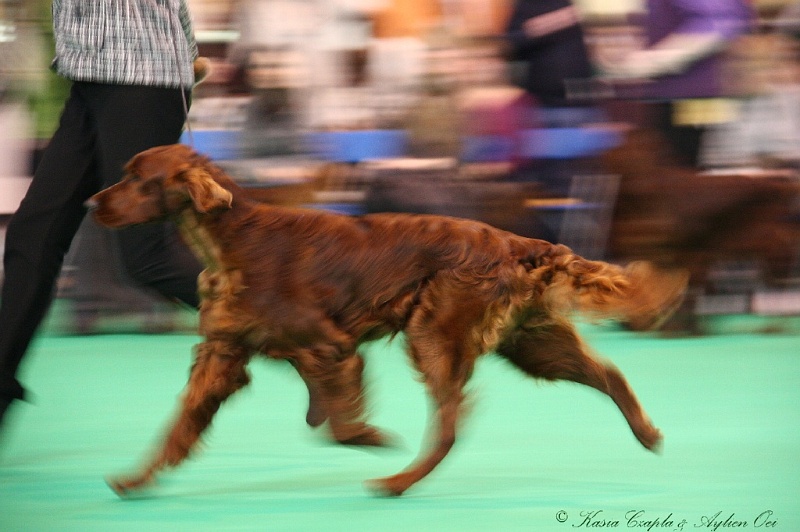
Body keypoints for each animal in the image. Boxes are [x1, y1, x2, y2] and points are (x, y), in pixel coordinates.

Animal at [89, 143, 688, 496]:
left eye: (136, 179)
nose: (91, 204)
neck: (230, 240)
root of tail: (520, 242)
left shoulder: (330, 346)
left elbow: (340, 423)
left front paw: (372, 436)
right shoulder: (223, 352)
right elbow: (179, 425)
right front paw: (135, 479)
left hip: (434, 334)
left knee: (449, 425)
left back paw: (398, 481)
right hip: (532, 341)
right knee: (607, 373)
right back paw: (649, 434)